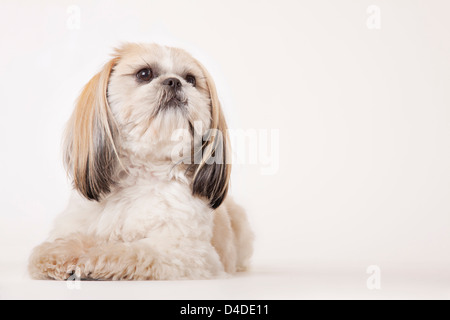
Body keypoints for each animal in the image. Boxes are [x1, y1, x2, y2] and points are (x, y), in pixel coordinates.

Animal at [28, 43, 253, 280]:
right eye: (144, 74)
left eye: (191, 79)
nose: (174, 81)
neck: (142, 173)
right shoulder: (74, 222)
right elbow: (62, 243)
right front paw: (59, 253)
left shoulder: (184, 251)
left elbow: (129, 251)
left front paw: (93, 258)